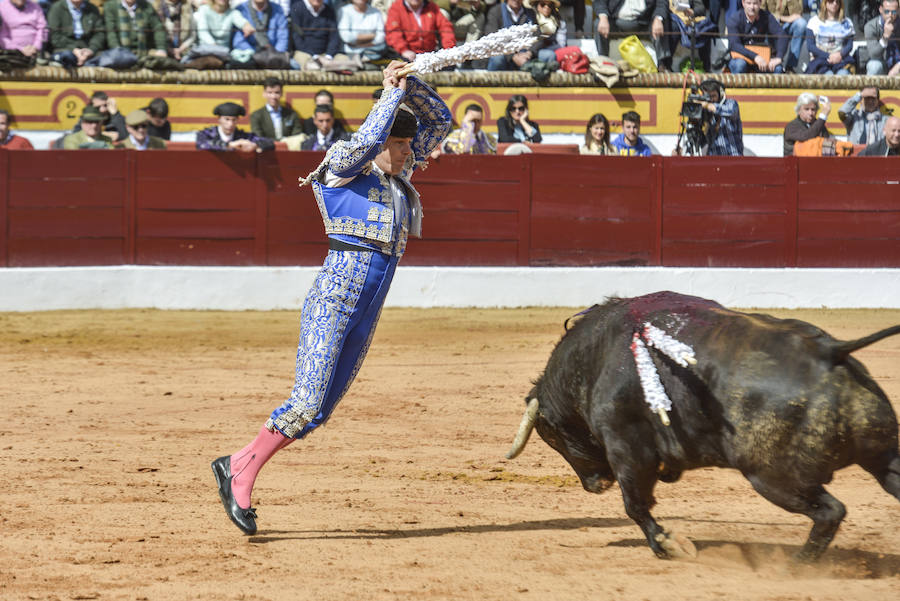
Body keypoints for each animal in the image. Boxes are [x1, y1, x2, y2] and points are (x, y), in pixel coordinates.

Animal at [506, 292, 900, 560]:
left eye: (553, 436)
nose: (594, 485)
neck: (594, 357)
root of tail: (829, 352)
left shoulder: (626, 448)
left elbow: (635, 504)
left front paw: (667, 545)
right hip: (882, 455)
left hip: (773, 476)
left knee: (830, 511)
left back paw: (797, 565)